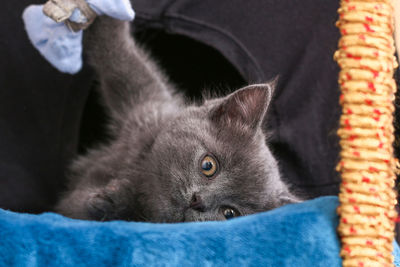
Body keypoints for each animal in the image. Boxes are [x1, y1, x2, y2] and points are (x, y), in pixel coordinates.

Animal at [55, 16, 296, 222]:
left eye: (229, 213)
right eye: (208, 165)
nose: (199, 201)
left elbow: (76, 209)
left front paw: (114, 200)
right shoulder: (147, 107)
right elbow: (121, 60)